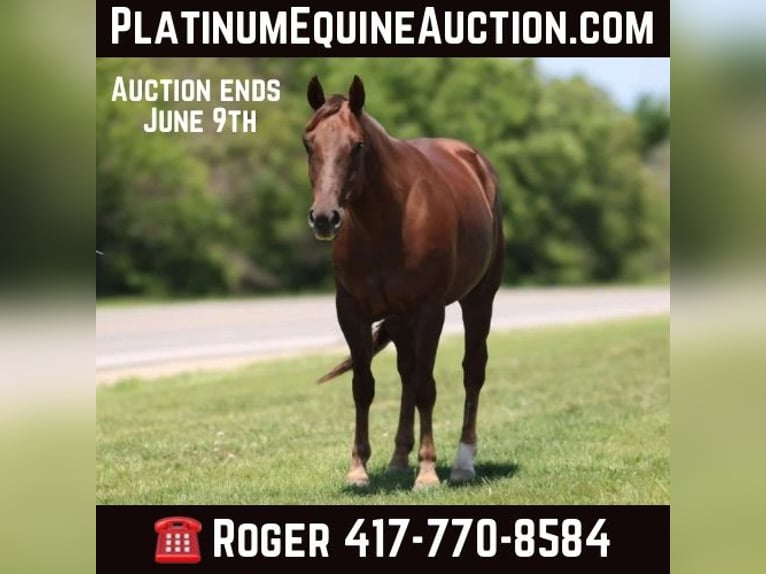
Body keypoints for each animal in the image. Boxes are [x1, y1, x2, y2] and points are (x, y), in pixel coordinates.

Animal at [303, 75, 505, 490]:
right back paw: (398, 459)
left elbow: (427, 386)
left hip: (479, 299)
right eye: (307, 142)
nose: (325, 218)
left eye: (357, 144)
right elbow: (364, 386)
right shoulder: (351, 312)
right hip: (399, 320)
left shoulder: (429, 311)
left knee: (472, 370)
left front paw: (427, 473)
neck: (388, 221)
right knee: (407, 373)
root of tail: (475, 162)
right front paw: (358, 469)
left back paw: (462, 463)